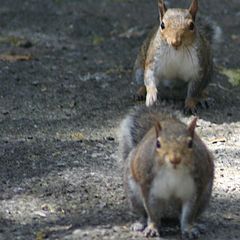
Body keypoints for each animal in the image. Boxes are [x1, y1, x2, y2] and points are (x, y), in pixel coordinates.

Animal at [118, 107, 214, 240]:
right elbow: (152, 212)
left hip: (205, 196)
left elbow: (189, 214)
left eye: (190, 143)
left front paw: (189, 229)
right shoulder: (149, 186)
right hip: (133, 194)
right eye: (158, 143)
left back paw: (198, 224)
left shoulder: (194, 188)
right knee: (143, 213)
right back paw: (140, 224)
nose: (175, 159)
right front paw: (152, 228)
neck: (173, 171)